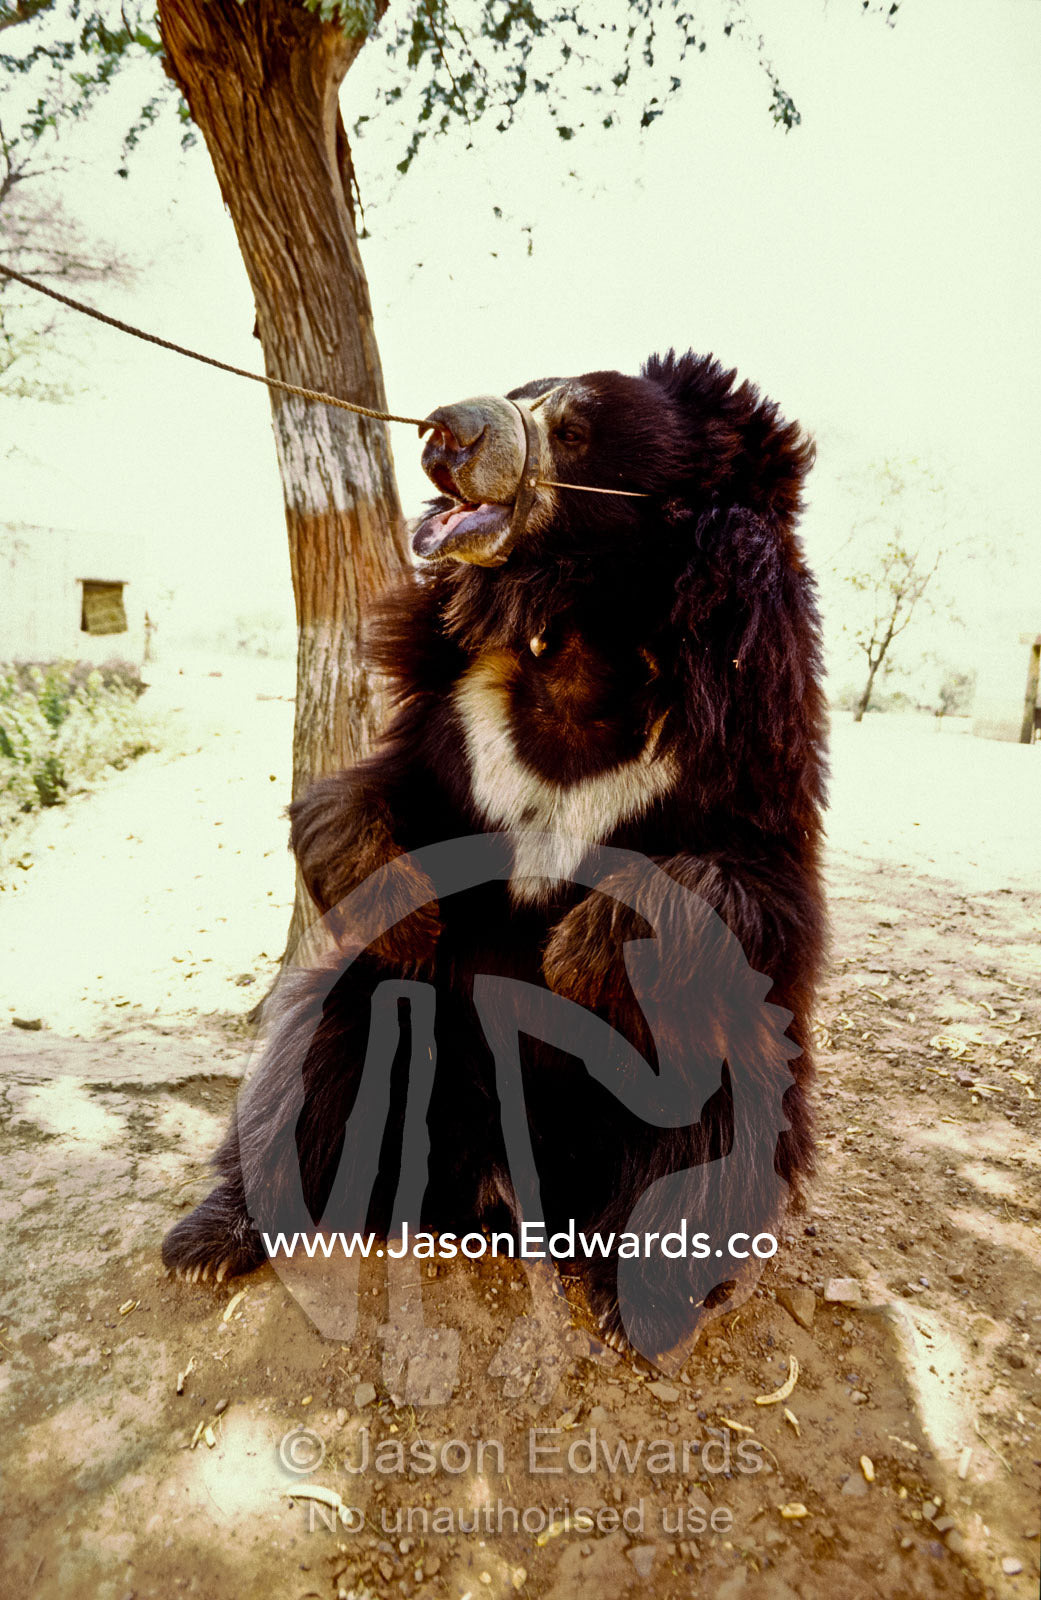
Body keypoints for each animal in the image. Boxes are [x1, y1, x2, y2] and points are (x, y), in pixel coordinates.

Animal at [162, 349, 827, 1369]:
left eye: (577, 428)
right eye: (522, 394)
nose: (445, 430)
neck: (586, 630)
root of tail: (502, 1190)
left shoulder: (749, 722)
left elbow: (763, 892)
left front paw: (584, 950)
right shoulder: (459, 711)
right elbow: (373, 793)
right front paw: (401, 898)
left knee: (718, 1091)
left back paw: (652, 1293)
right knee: (326, 1034)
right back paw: (217, 1233)